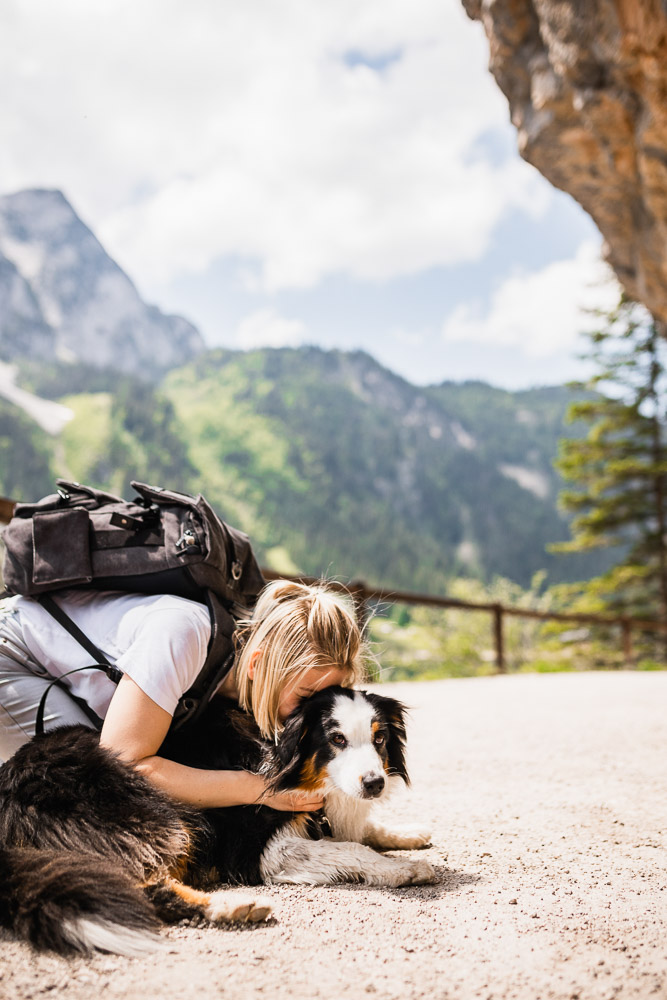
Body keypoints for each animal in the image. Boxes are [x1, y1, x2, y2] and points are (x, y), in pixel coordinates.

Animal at [0, 684, 436, 956]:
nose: (375, 784)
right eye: (337, 739)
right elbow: (349, 849)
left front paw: (409, 835)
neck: (286, 759)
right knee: (144, 884)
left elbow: (362, 832)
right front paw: (404, 869)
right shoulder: (260, 849)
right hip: (157, 816)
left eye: (379, 738)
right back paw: (229, 906)